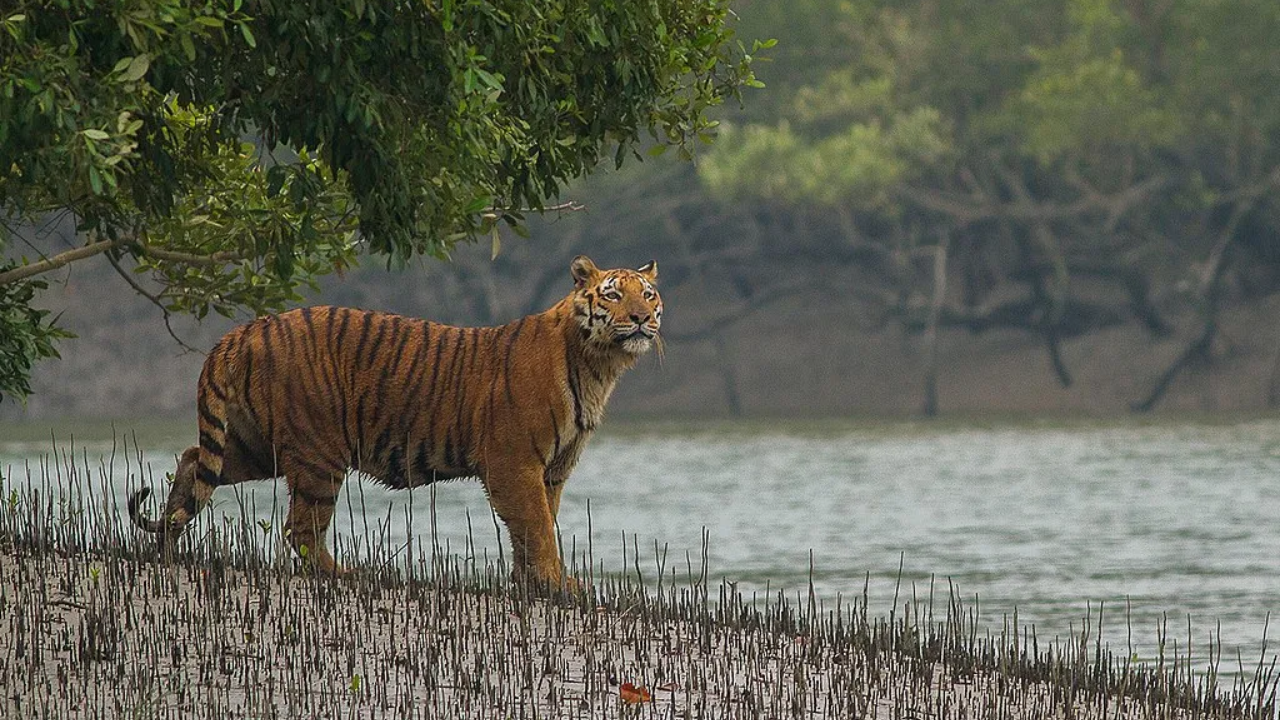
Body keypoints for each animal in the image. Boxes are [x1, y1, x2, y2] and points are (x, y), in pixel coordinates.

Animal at [129, 254, 665, 586]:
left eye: (649, 295)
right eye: (613, 296)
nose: (642, 318)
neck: (599, 364)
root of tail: (244, 330)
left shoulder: (552, 469)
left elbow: (534, 527)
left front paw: (531, 583)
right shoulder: (515, 462)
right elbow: (536, 527)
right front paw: (558, 584)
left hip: (256, 445)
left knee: (193, 460)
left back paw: (167, 546)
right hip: (318, 453)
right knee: (300, 529)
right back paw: (343, 575)